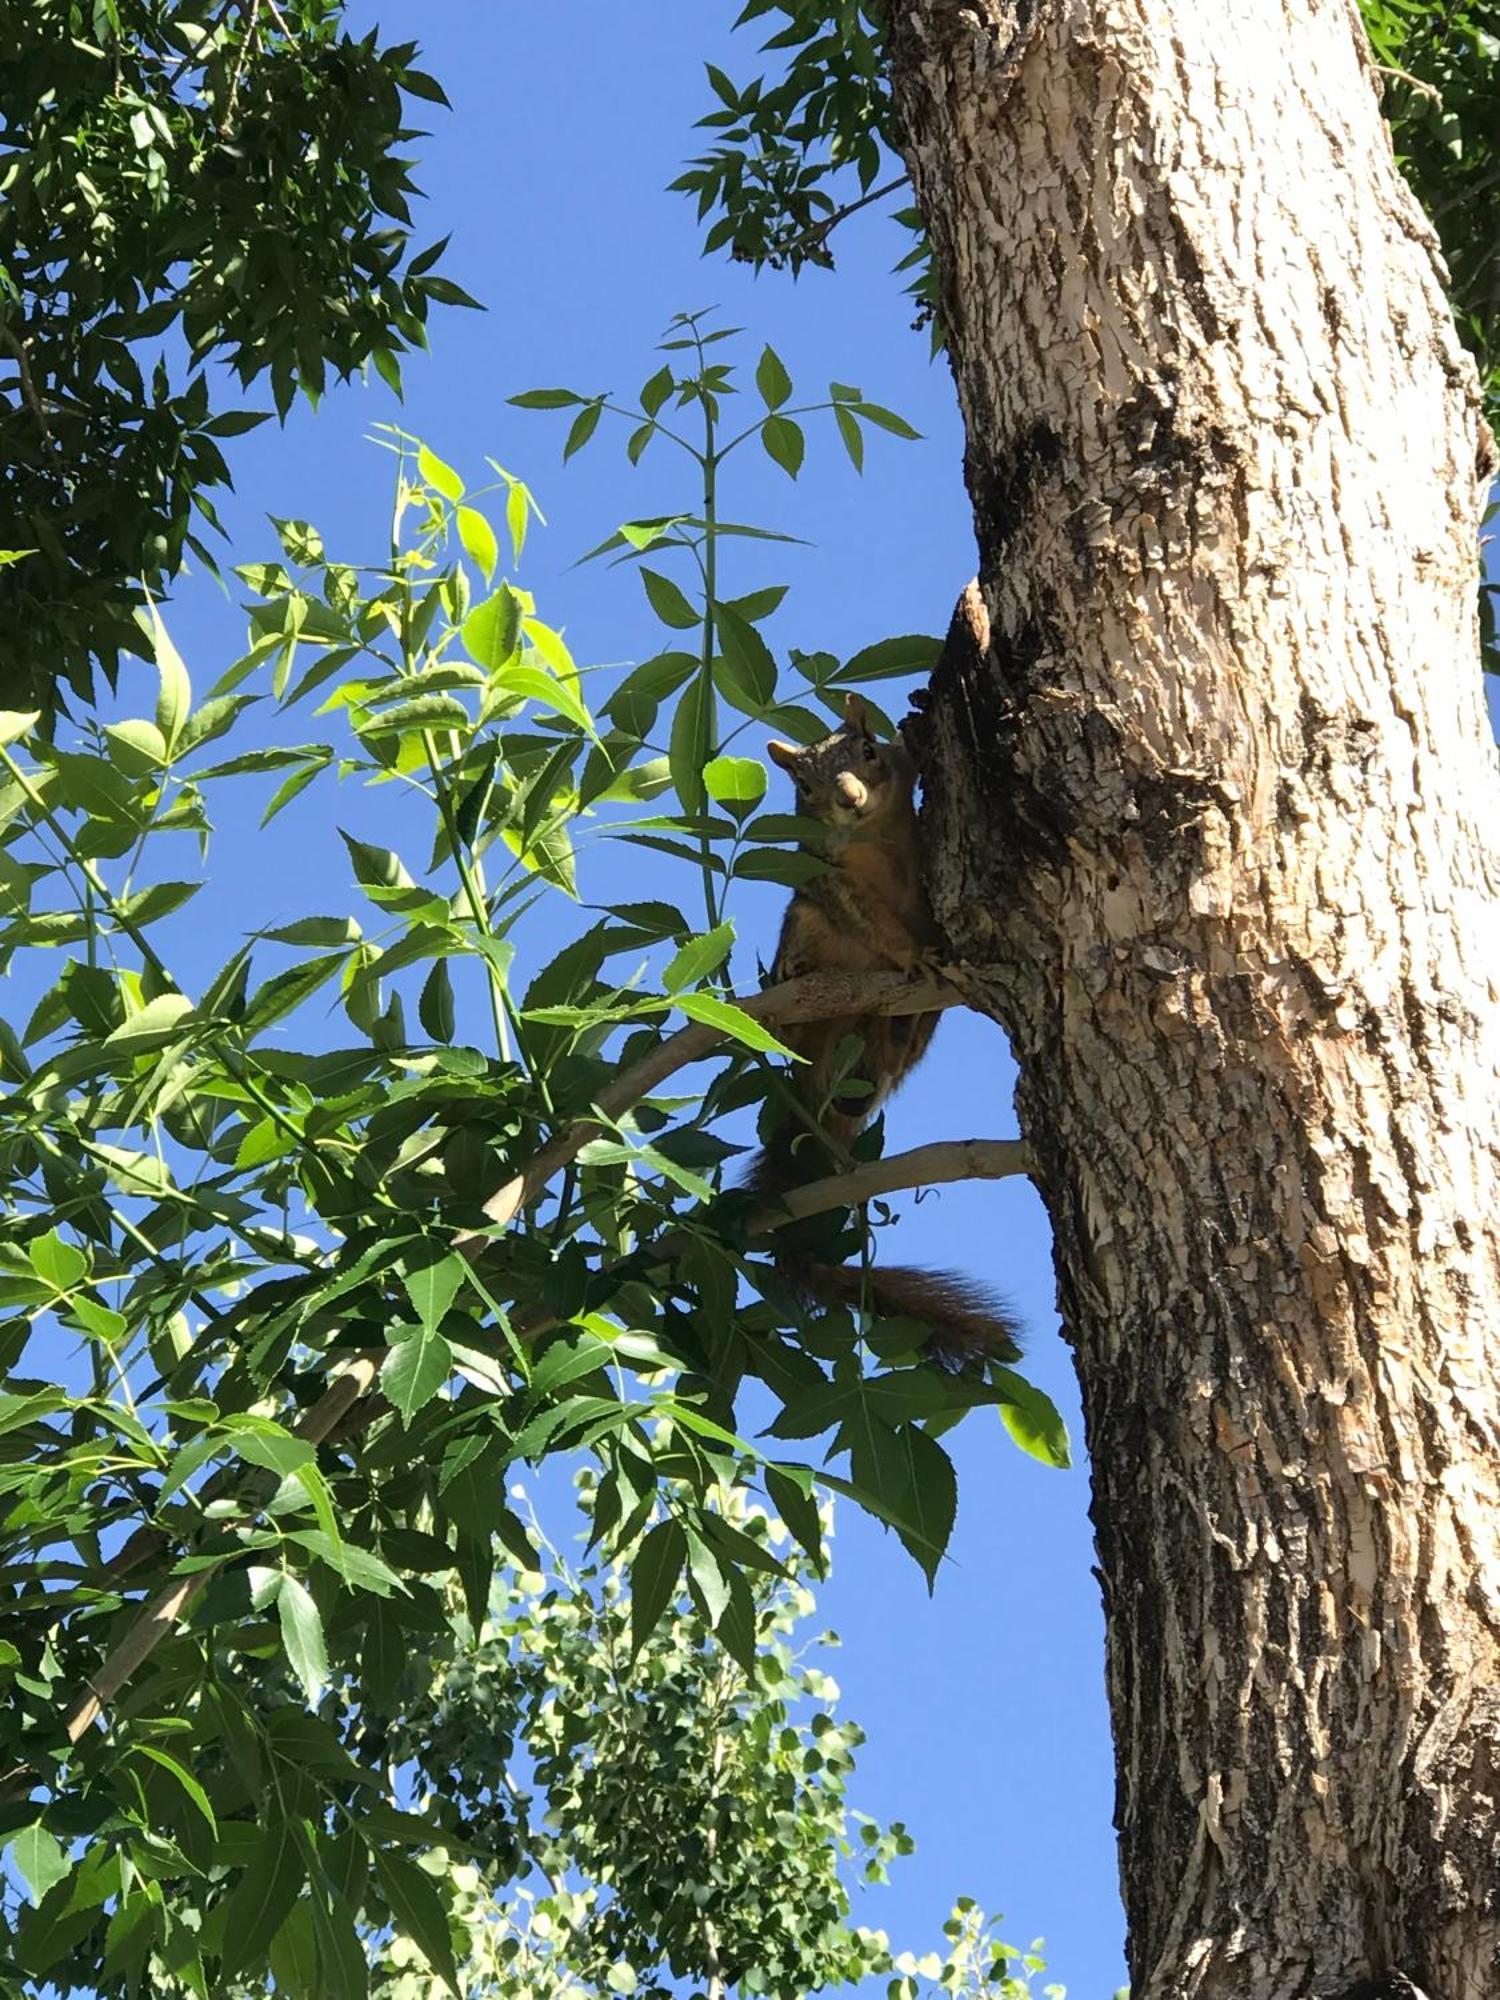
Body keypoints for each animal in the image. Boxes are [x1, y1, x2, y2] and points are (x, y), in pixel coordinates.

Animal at [748, 692, 1032, 1376]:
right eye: (804, 786)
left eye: (871, 751)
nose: (850, 798)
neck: (875, 834)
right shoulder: (830, 879)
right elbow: (873, 924)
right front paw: (909, 955)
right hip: (804, 926)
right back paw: (797, 976)